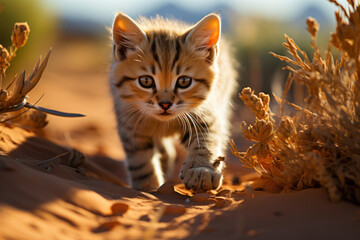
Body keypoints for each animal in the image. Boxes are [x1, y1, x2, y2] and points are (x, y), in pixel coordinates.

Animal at [111, 12, 238, 192]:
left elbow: (207, 141)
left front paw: (202, 171)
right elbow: (140, 161)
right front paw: (148, 187)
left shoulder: (205, 115)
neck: (163, 123)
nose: (165, 104)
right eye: (146, 81)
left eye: (184, 81)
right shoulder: (129, 124)